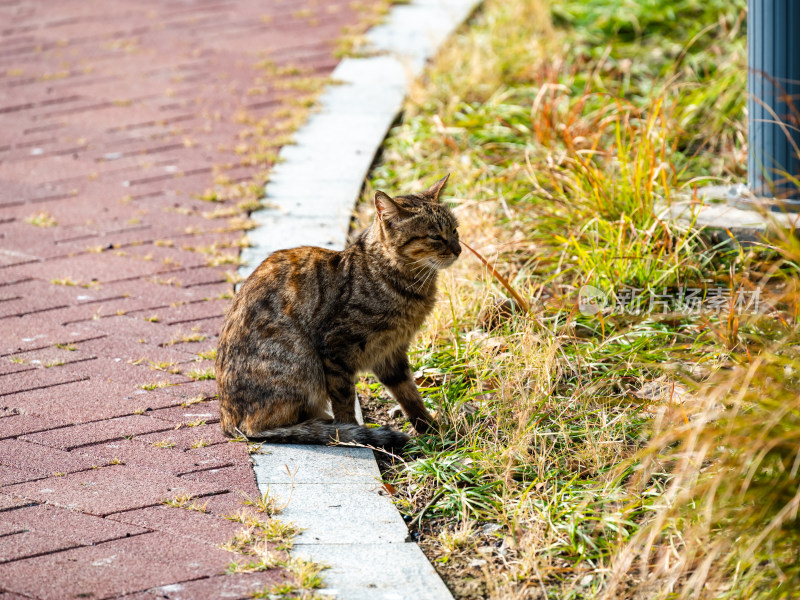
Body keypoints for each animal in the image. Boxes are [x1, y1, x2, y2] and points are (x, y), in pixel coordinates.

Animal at [216, 173, 460, 446]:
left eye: (454, 230)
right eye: (435, 236)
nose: (459, 249)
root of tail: (227, 422)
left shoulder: (390, 351)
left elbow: (408, 393)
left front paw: (431, 429)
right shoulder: (337, 347)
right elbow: (344, 399)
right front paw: (352, 432)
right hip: (302, 363)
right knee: (261, 426)